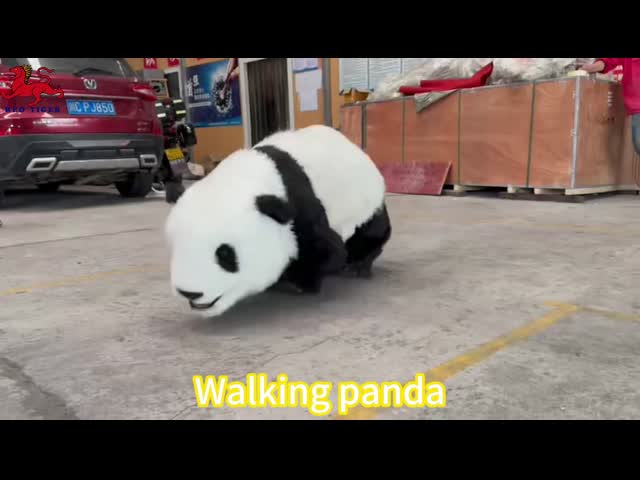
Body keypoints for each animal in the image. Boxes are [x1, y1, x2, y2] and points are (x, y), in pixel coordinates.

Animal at [165, 124, 391, 317]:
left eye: (225, 253)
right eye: (176, 248)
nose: (189, 292)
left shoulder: (300, 206)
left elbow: (329, 250)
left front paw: (300, 281)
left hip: (367, 203)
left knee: (372, 232)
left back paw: (358, 266)